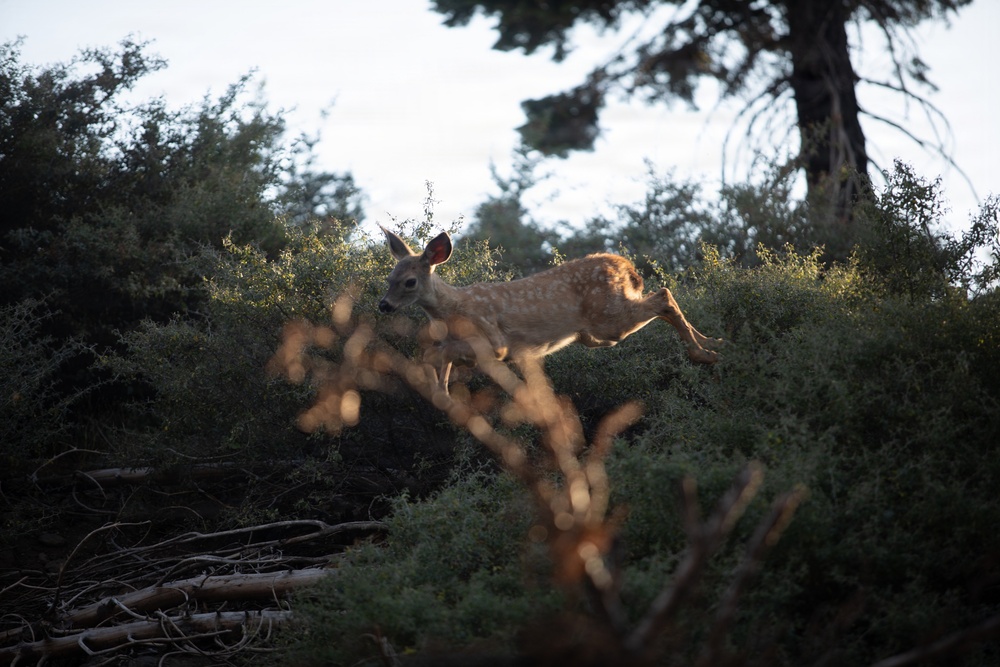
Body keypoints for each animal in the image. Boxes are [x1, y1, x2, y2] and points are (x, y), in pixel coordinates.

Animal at [377, 226, 721, 393]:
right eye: (388, 278)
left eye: (409, 282)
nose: (383, 305)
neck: (451, 311)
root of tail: (626, 267)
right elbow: (439, 357)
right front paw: (442, 393)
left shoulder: (494, 342)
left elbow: (440, 353)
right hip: (595, 334)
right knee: (663, 296)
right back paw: (713, 342)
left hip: (608, 321)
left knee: (663, 295)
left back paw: (703, 353)